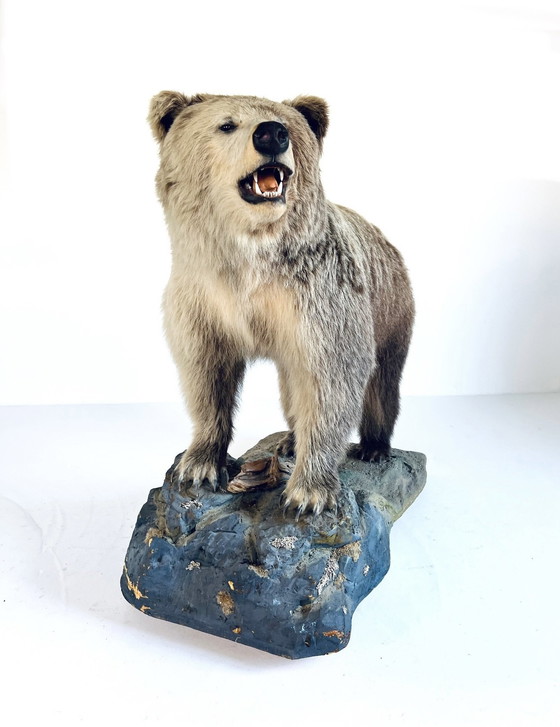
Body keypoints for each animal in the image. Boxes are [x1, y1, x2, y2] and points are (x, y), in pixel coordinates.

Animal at [148, 91, 414, 516]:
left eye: (286, 125)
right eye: (227, 124)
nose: (271, 134)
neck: (252, 254)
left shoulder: (321, 301)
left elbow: (333, 382)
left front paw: (309, 492)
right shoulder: (202, 301)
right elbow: (205, 377)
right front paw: (199, 465)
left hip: (389, 307)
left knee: (382, 381)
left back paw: (374, 447)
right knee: (292, 389)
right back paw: (289, 439)